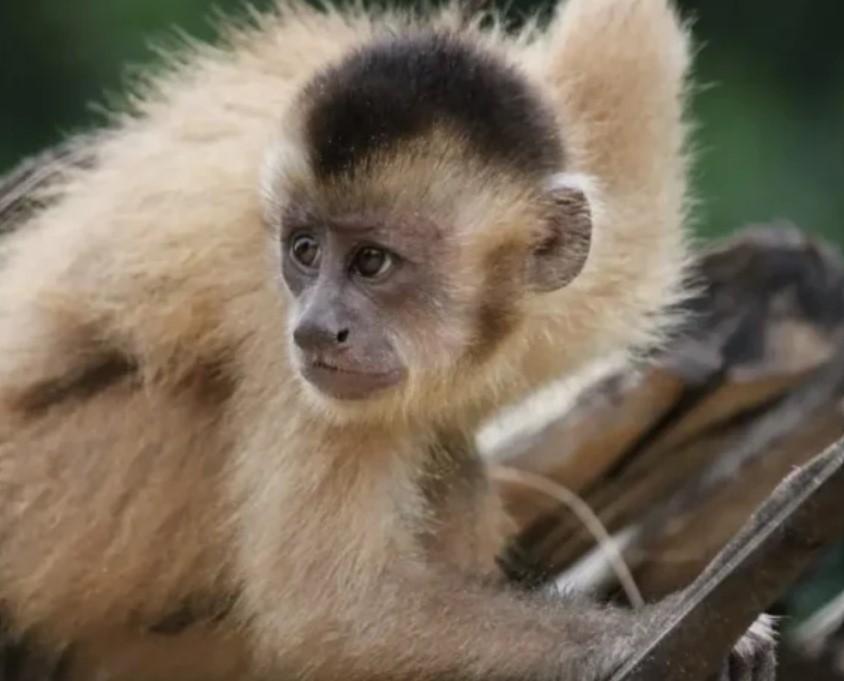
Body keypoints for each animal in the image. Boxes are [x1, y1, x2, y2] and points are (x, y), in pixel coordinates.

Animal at [0, 0, 776, 679]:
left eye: (372, 262)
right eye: (304, 251)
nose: (317, 326)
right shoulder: (265, 297)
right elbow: (329, 612)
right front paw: (648, 631)